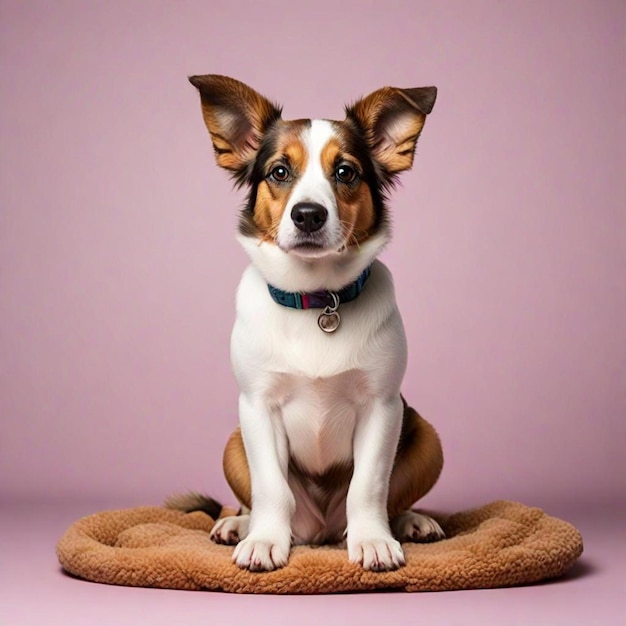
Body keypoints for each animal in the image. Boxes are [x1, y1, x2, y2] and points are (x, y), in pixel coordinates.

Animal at [169, 74, 444, 572]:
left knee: (391, 498)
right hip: (233, 442)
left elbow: (369, 486)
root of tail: (320, 531)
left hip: (427, 436)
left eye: (346, 172)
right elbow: (271, 488)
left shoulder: (383, 408)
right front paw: (264, 540)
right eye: (280, 171)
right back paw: (240, 524)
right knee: (258, 499)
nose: (309, 215)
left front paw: (373, 540)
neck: (317, 301)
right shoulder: (257, 408)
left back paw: (410, 521)